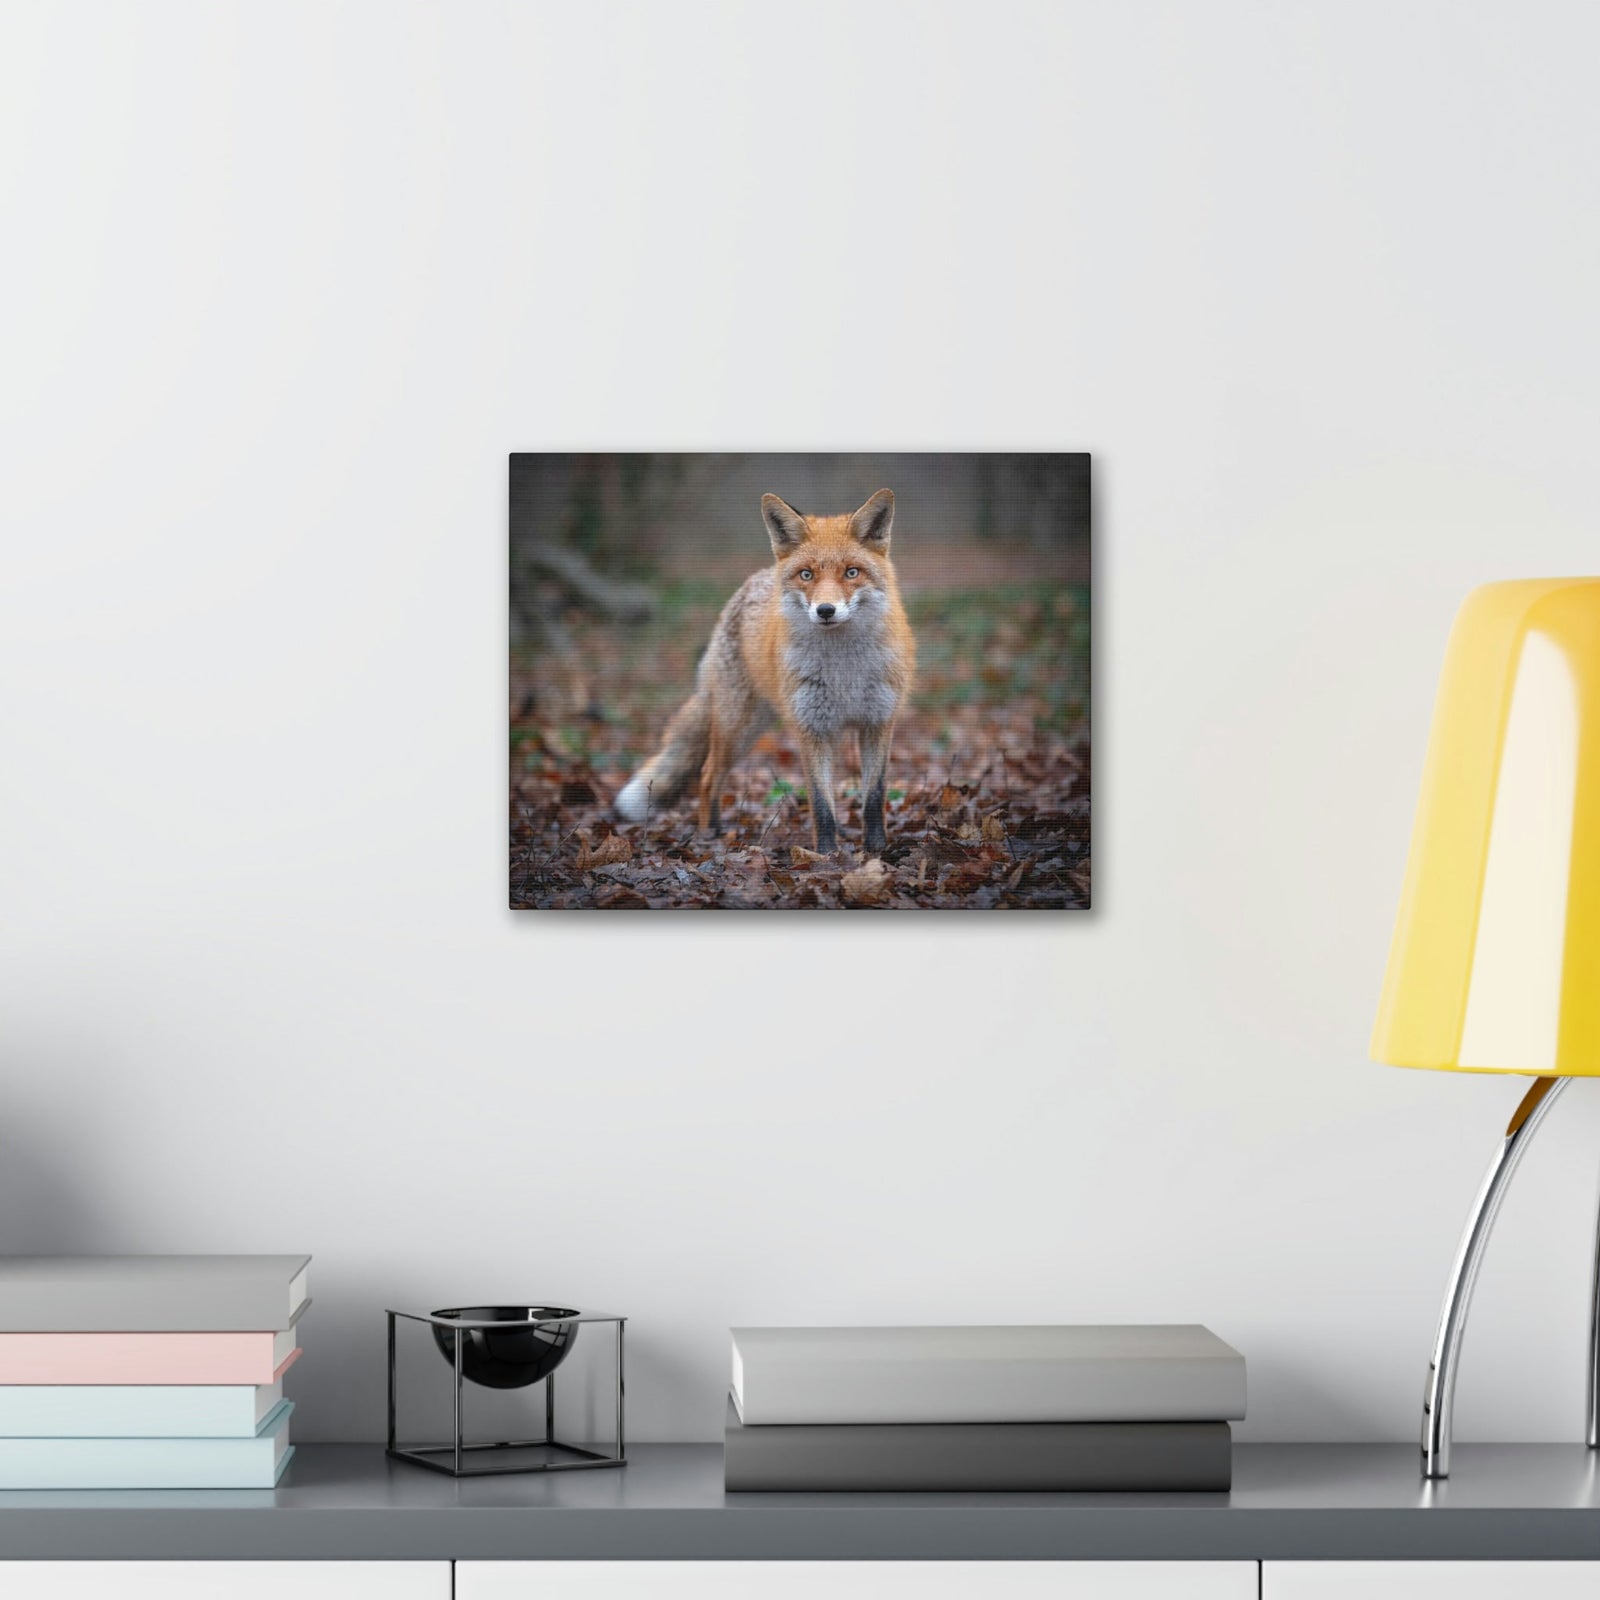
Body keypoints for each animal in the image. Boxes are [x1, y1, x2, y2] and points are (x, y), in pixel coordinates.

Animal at [615, 488, 915, 855]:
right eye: (806, 575)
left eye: (852, 572)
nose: (825, 610)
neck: (843, 671)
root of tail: (753, 580)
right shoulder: (811, 727)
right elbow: (821, 805)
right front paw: (826, 855)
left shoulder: (878, 723)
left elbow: (873, 797)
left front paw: (877, 850)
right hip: (738, 729)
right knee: (707, 775)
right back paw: (710, 835)